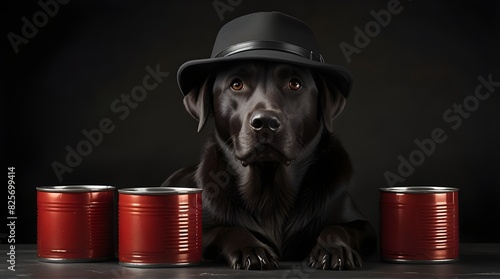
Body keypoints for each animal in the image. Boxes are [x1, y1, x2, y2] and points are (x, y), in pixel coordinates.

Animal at [164, 60, 376, 270]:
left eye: (295, 84)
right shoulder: (204, 228)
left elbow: (337, 228)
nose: (265, 122)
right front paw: (251, 249)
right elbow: (227, 229)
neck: (269, 188)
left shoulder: (363, 226)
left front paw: (335, 249)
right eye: (236, 84)